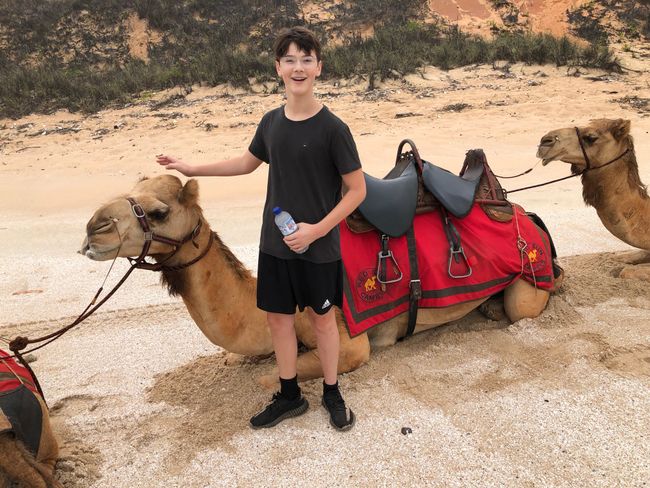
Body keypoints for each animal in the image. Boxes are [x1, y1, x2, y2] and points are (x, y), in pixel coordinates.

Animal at [79, 173, 556, 386]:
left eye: (159, 211)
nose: (93, 228)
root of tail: (523, 212)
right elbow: (240, 358)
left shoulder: (351, 342)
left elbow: (269, 376)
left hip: (530, 282)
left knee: (523, 305)